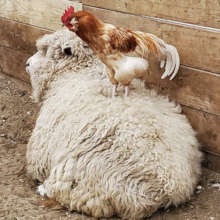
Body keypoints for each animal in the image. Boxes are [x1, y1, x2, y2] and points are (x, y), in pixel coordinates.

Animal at [25, 29, 201, 220]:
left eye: (44, 51)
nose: (27, 63)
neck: (83, 72)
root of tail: (164, 189)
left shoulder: (40, 151)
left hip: (81, 178)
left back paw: (44, 189)